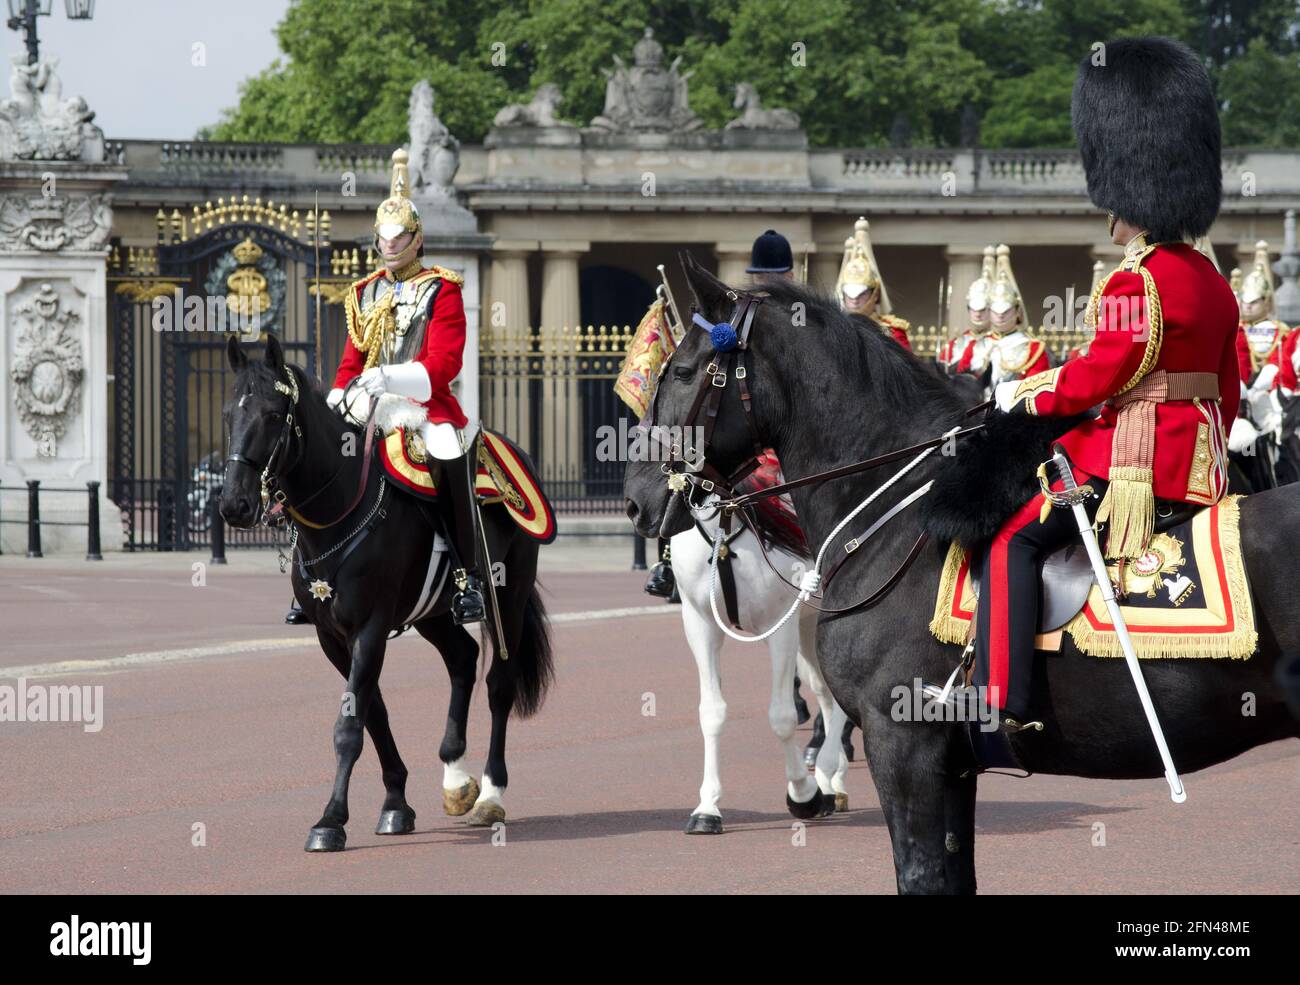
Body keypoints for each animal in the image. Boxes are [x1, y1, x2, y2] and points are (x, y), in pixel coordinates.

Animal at [219, 335, 553, 852]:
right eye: (227, 414)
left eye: (274, 414)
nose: (234, 505)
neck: (339, 512)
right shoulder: (333, 636)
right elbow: (372, 712)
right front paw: (396, 803)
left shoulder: (370, 626)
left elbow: (349, 725)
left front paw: (330, 820)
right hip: (433, 613)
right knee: (462, 659)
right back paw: (455, 778)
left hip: (509, 596)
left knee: (500, 682)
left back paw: (490, 794)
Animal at [624, 258, 1294, 899]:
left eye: (682, 372)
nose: (636, 500)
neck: (896, 517)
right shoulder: (953, 762)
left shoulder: (905, 742)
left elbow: (919, 875)